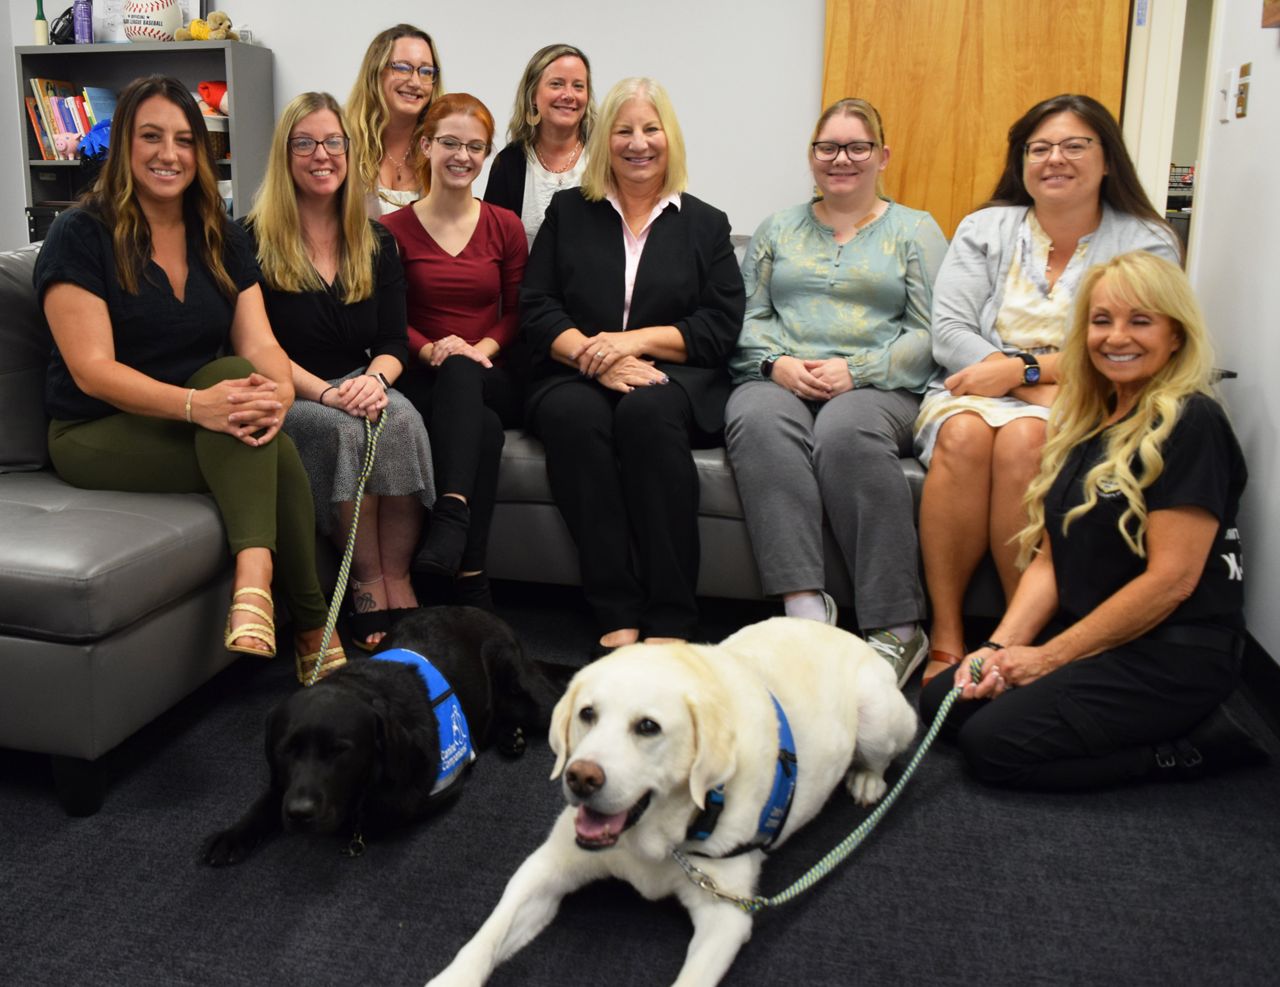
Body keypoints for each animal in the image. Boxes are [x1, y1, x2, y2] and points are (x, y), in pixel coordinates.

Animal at [203, 606, 555, 860]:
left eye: (340, 750)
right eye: (285, 749)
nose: (300, 813)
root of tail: (492, 616)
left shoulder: (430, 791)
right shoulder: (284, 782)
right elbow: (270, 797)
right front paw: (233, 835)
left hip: (527, 693)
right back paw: (510, 737)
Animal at [430, 622, 921, 983]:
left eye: (648, 727)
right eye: (587, 714)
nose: (580, 777)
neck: (653, 839)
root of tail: (846, 632)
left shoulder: (727, 916)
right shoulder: (547, 867)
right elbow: (487, 935)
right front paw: (452, 977)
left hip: (880, 717)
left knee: (881, 755)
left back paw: (866, 780)